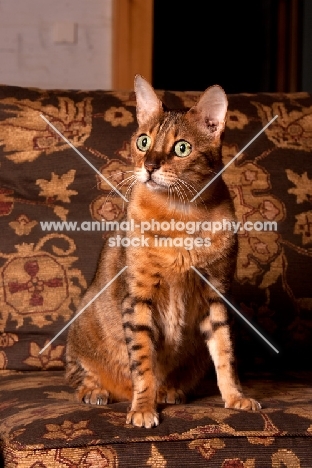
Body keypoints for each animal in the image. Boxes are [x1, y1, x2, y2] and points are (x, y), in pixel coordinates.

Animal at [66, 74, 260, 428]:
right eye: (143, 141)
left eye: (181, 148)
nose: (150, 165)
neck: (180, 215)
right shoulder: (138, 297)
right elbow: (143, 362)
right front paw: (143, 408)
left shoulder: (216, 294)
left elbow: (225, 354)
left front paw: (235, 397)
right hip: (82, 327)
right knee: (79, 373)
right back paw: (96, 391)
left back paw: (170, 391)